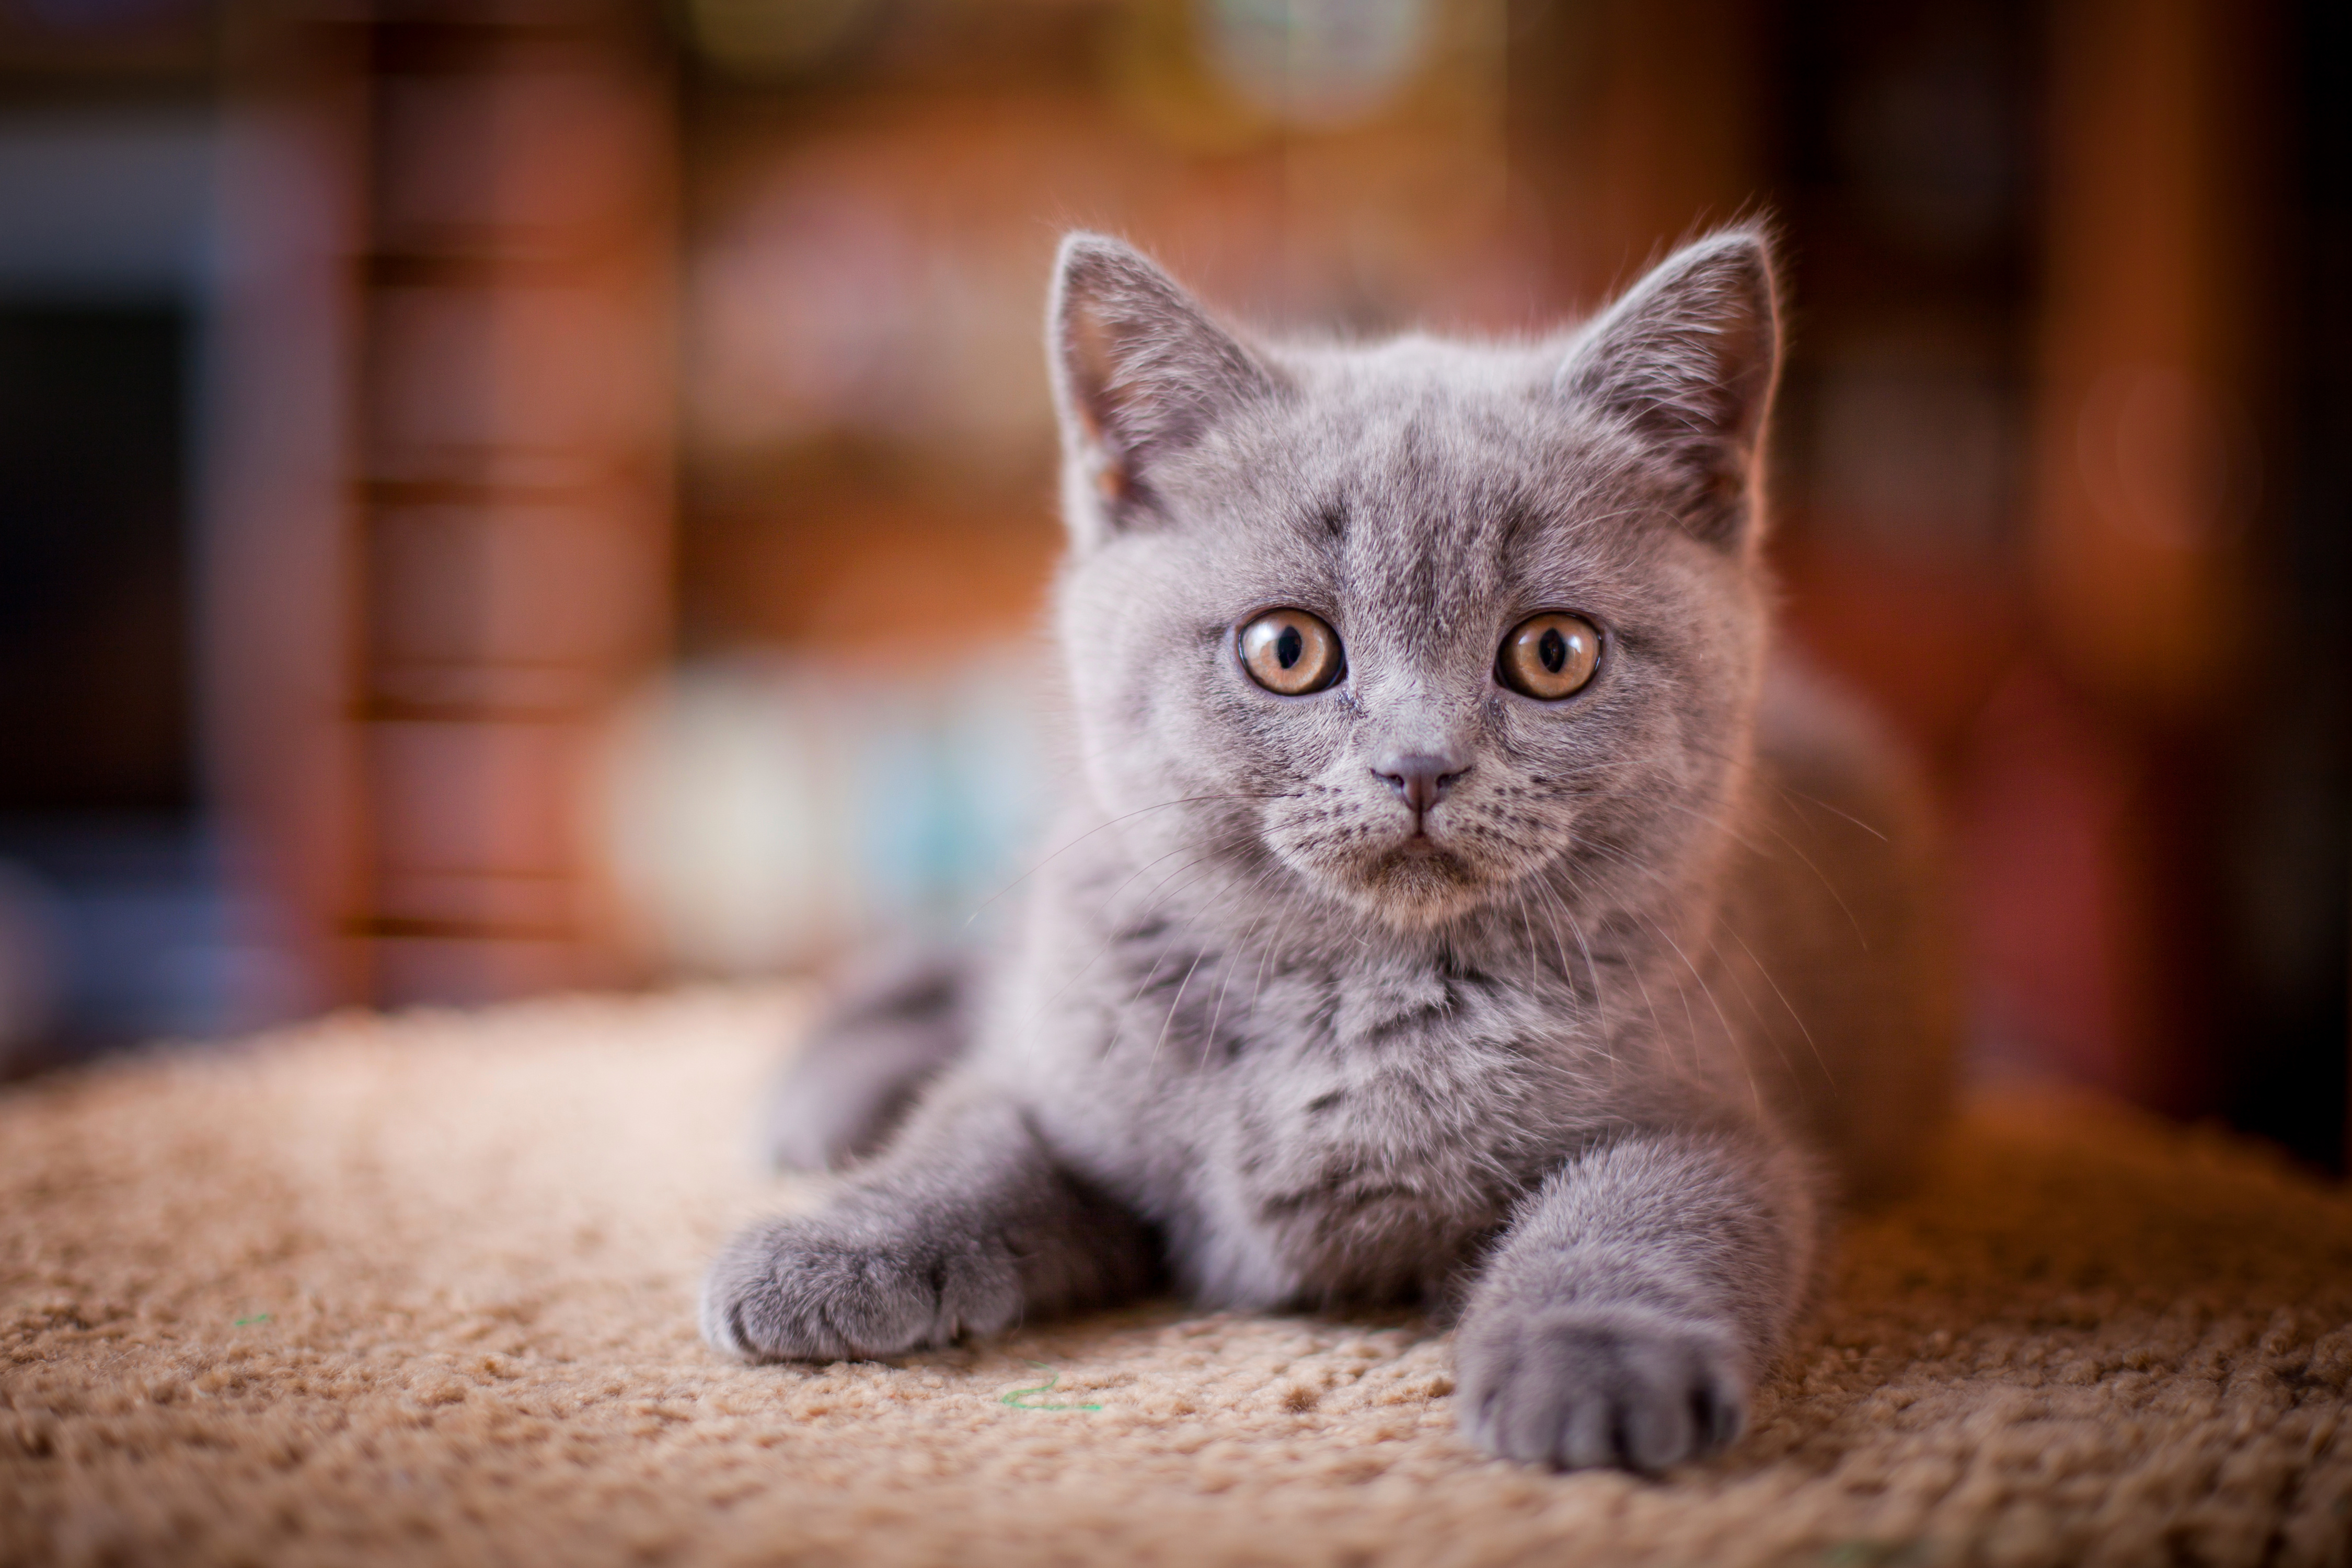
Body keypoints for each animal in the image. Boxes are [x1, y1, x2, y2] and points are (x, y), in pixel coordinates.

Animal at [696, 227, 1947, 1476]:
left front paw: (1594, 1370)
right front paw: (830, 1251)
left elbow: (1642, 1213)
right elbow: (975, 1136)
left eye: (1553, 652)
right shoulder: (1068, 1069)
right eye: (1287, 649)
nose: (1420, 765)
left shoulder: (1712, 1118)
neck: (1342, 994)